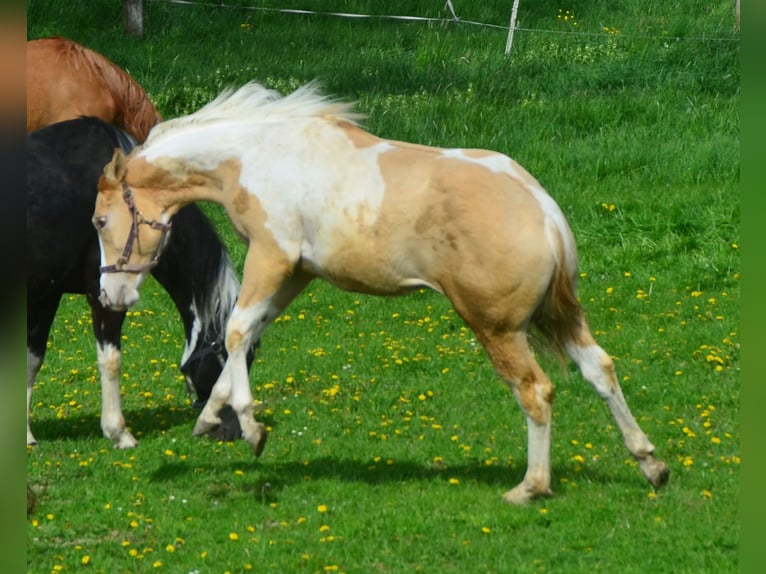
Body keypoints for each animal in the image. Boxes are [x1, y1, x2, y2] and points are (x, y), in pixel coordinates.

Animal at [27, 118, 254, 450]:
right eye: (230, 360)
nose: (232, 431)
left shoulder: (47, 294)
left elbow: (32, 359)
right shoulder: (105, 295)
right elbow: (111, 361)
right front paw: (118, 432)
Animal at [90, 83, 668, 506]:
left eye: (98, 220)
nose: (112, 294)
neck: (254, 157)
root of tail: (544, 212)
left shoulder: (272, 257)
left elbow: (234, 331)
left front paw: (251, 430)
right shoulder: (295, 273)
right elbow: (245, 332)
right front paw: (212, 418)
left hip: (497, 328)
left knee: (537, 391)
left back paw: (530, 487)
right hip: (561, 319)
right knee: (600, 370)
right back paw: (651, 464)